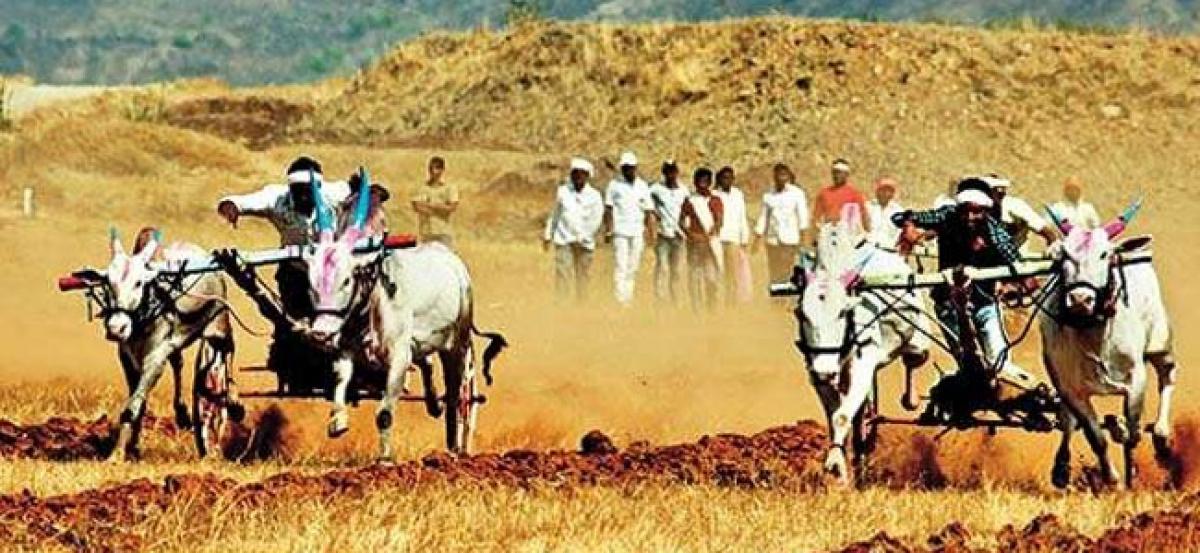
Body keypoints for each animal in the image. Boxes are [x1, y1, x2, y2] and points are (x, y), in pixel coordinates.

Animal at [304, 175, 506, 455]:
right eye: (312, 282)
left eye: (346, 280)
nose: (320, 333)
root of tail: (453, 262)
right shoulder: (345, 351)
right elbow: (340, 383)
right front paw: (338, 421)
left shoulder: (398, 359)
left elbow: (384, 414)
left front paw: (385, 457)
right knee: (427, 364)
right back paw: (433, 404)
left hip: (457, 345)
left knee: (456, 394)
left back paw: (455, 444)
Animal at [796, 221, 936, 484]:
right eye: (801, 313)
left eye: (842, 312)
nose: (825, 371)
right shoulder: (816, 374)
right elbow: (836, 416)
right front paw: (841, 467)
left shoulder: (863, 365)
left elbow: (841, 416)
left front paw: (834, 465)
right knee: (861, 412)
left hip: (919, 342)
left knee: (912, 362)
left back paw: (909, 400)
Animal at [1036, 202, 1176, 487]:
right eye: (1065, 254)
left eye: (1104, 254)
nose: (1080, 299)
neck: (1093, 332)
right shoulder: (1069, 388)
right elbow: (1095, 437)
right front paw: (1112, 479)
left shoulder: (1136, 380)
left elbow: (1132, 433)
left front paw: (1131, 476)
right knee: (1067, 421)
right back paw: (1062, 467)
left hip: (1160, 342)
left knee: (1167, 377)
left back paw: (1161, 436)